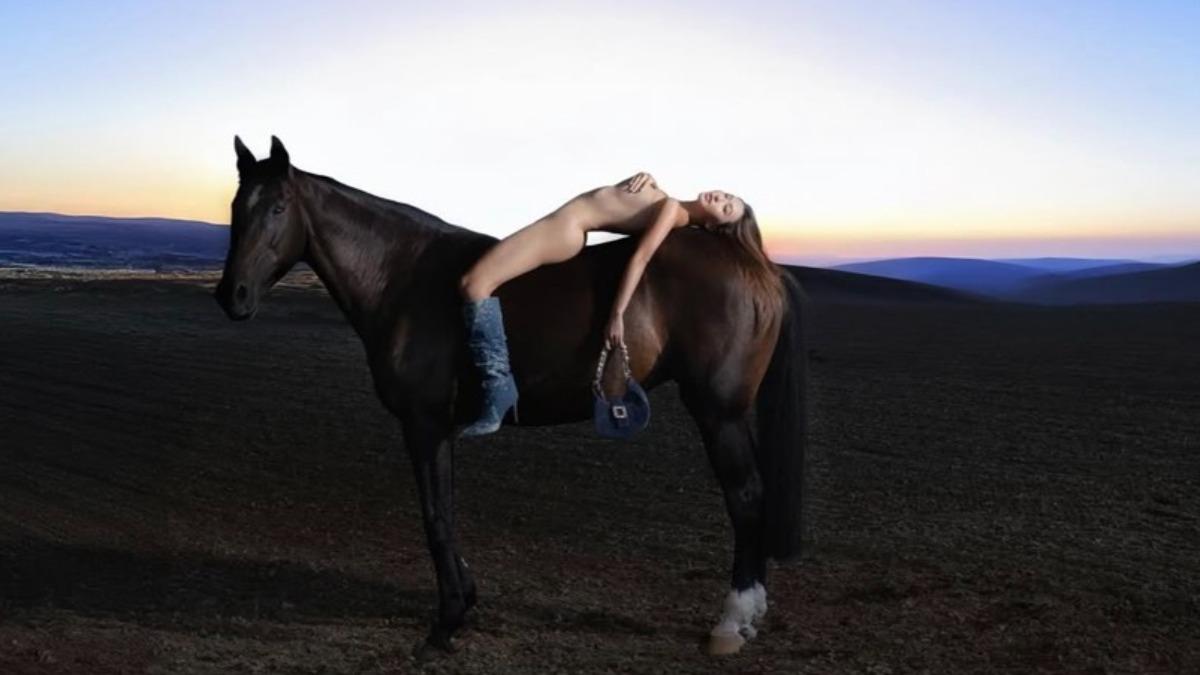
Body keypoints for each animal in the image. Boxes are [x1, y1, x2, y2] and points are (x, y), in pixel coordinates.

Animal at [214, 135, 810, 657]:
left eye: (278, 207)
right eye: (238, 205)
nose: (231, 296)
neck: (403, 276)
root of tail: (757, 265)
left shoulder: (423, 423)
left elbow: (436, 515)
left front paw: (447, 623)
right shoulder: (436, 429)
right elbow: (445, 510)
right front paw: (465, 600)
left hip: (719, 412)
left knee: (746, 497)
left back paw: (731, 623)